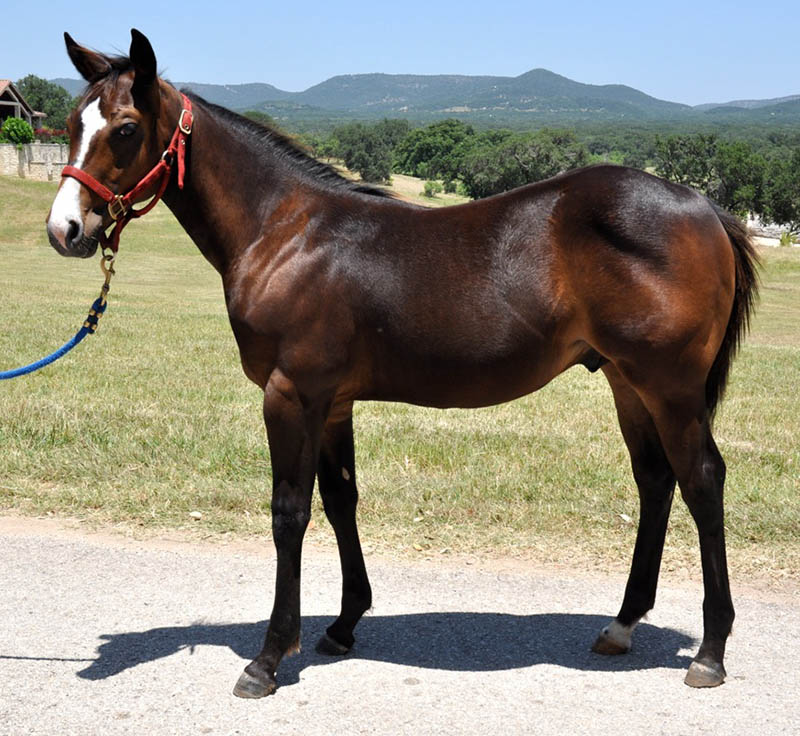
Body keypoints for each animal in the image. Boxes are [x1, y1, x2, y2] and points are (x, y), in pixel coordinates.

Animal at [47, 28, 760, 696]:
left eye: (126, 128)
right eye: (70, 124)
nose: (66, 231)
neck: (285, 232)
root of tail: (705, 208)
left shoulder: (291, 394)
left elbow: (289, 513)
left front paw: (269, 657)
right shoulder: (331, 401)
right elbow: (340, 500)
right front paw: (342, 624)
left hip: (670, 386)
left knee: (702, 480)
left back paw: (710, 652)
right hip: (625, 381)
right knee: (656, 481)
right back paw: (621, 625)